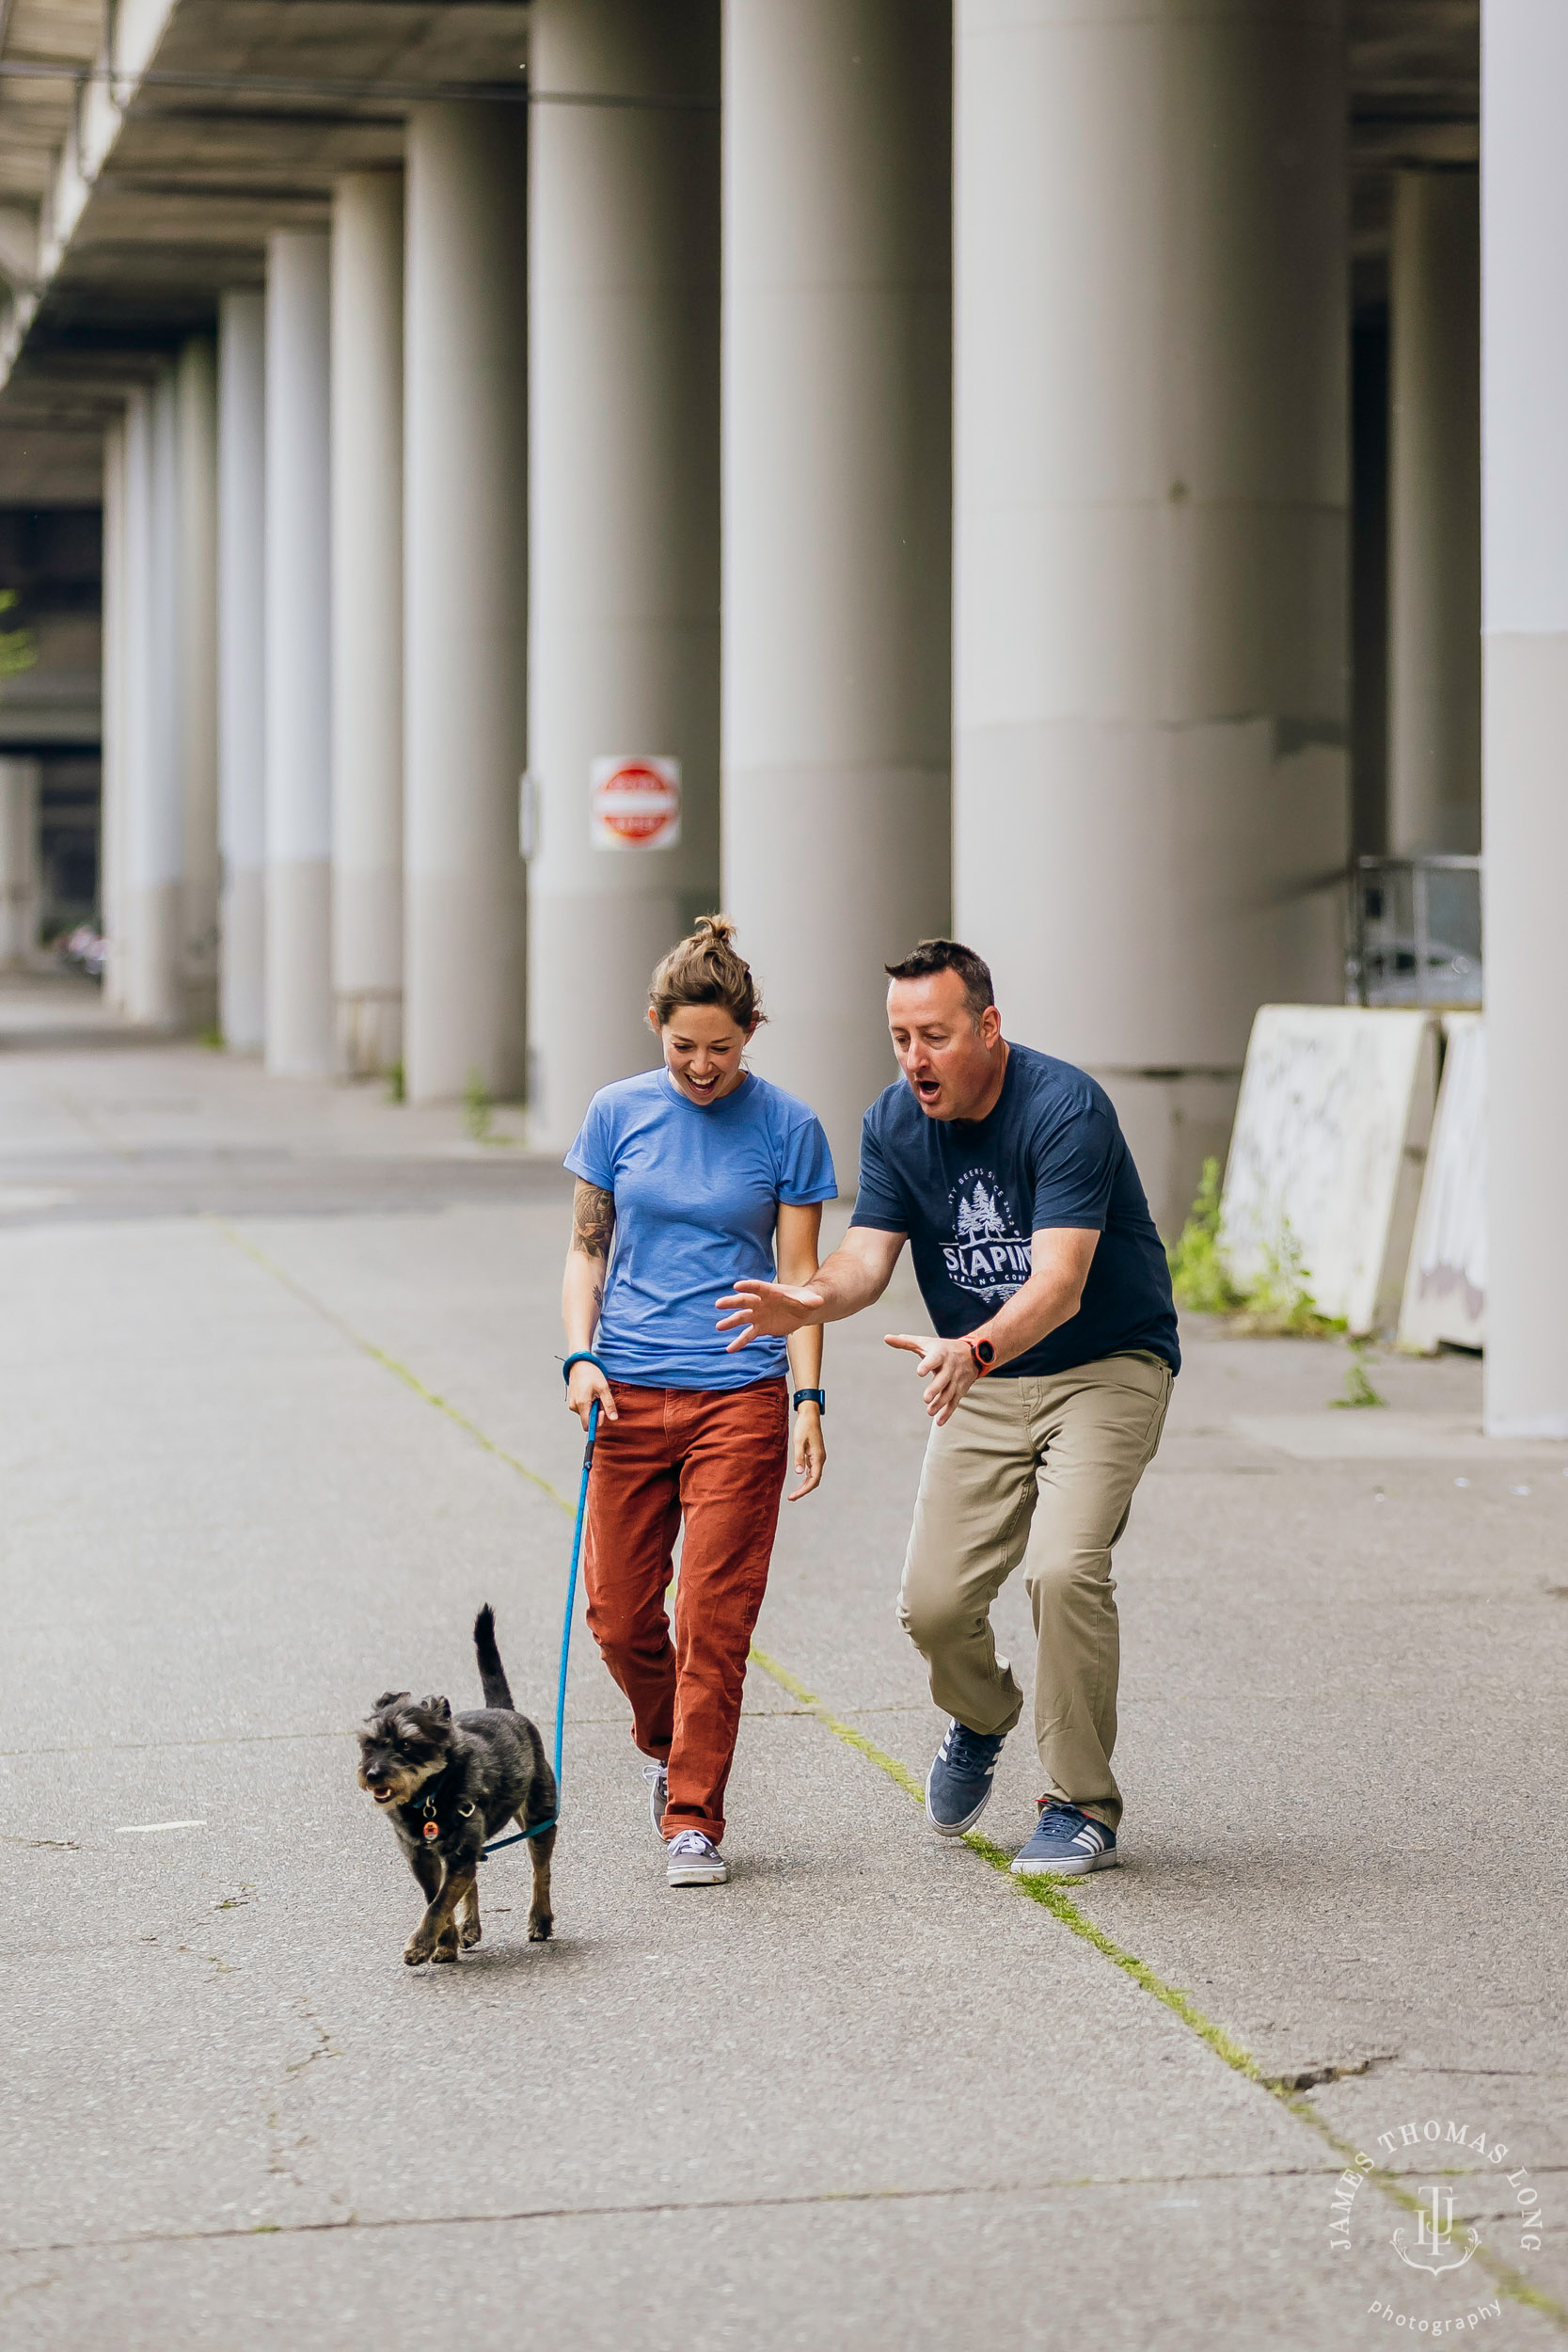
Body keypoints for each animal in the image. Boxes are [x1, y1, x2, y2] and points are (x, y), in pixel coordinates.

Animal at [356, 1599, 557, 1966]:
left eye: (406, 1744)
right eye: (369, 1743)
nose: (373, 1774)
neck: (428, 1797)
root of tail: (505, 1709)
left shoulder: (460, 1853)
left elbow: (439, 1903)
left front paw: (421, 1944)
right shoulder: (422, 1857)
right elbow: (437, 1899)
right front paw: (444, 1941)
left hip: (539, 1818)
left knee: (540, 1872)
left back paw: (540, 1919)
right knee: (472, 1882)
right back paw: (468, 1929)